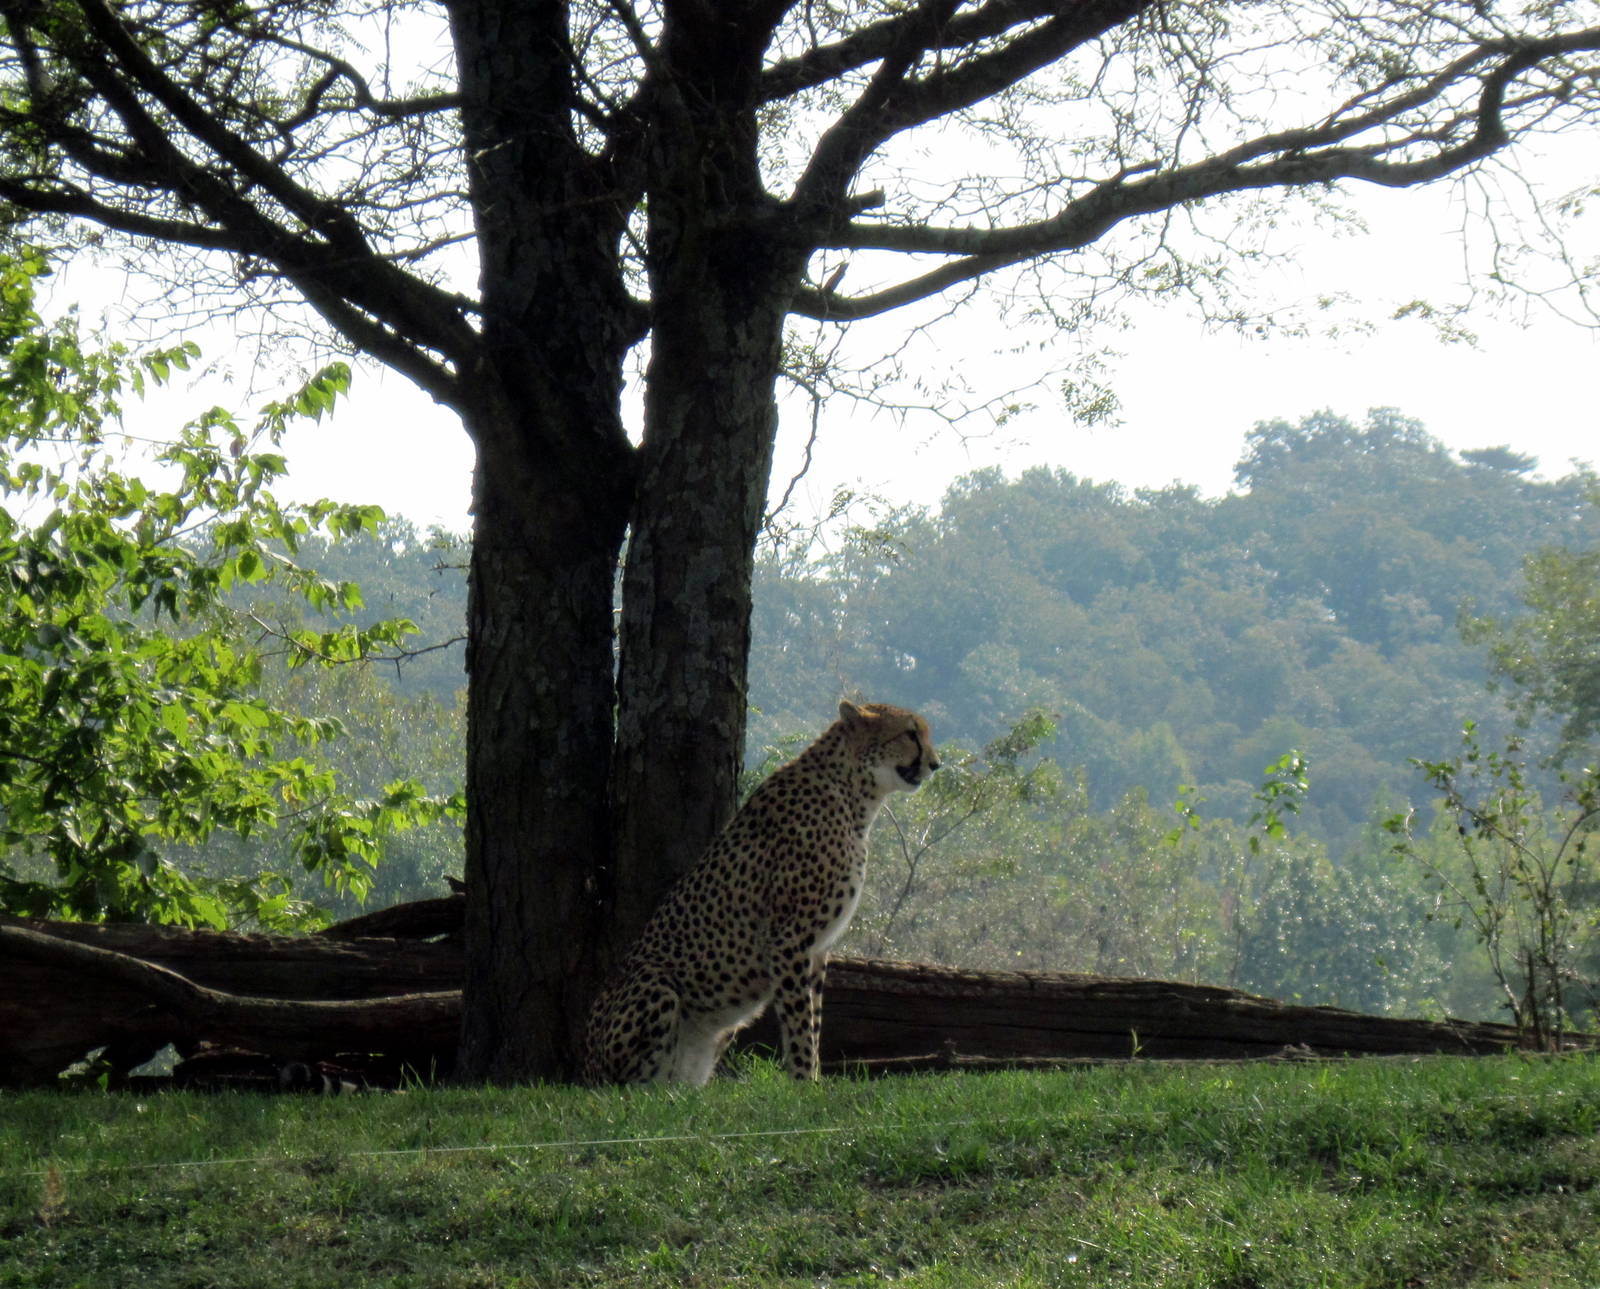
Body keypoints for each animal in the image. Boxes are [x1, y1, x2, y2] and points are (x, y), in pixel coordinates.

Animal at [582, 700, 939, 1085]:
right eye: (910, 734)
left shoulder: (818, 950)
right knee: (629, 1088)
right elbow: (799, 1023)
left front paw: (813, 1080)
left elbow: (814, 1021)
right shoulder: (788, 939)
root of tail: (587, 1065)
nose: (935, 764)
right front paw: (803, 1084)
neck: (853, 793)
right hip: (657, 985)